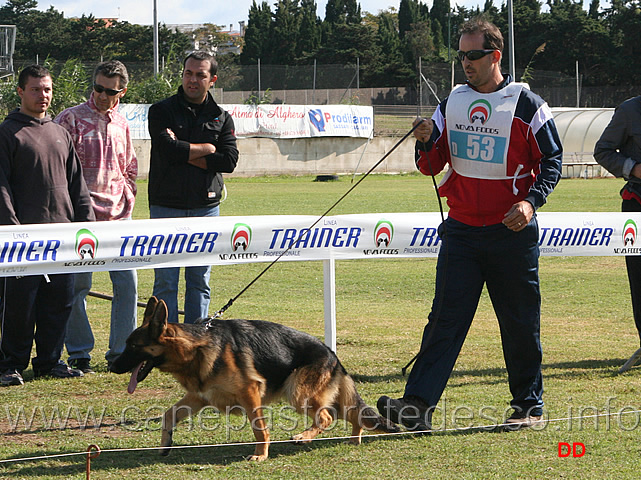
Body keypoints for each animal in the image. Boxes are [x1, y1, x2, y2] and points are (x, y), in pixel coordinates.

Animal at [112, 296, 398, 462]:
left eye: (133, 346)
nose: (112, 365)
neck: (196, 348)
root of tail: (331, 353)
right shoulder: (199, 396)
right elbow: (168, 415)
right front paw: (165, 445)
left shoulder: (250, 393)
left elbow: (259, 428)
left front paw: (261, 455)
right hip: (317, 394)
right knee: (350, 413)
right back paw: (354, 438)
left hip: (299, 393)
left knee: (326, 417)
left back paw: (304, 437)